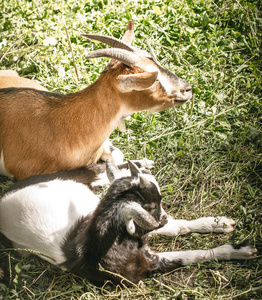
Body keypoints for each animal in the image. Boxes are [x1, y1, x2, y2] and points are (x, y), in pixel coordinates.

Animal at [0, 161, 256, 284]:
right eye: (152, 204)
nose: (163, 217)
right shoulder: (145, 262)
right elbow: (191, 255)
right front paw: (241, 250)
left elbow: (179, 234)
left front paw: (220, 228)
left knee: (95, 171)